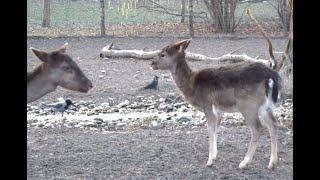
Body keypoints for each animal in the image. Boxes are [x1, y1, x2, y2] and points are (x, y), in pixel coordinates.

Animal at [149, 38, 282, 169]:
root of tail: (272, 76)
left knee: (258, 128)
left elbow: (210, 129)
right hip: (265, 106)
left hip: (248, 105)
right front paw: (215, 155)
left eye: (162, 54)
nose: (151, 63)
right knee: (273, 124)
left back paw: (245, 162)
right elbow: (216, 129)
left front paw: (210, 161)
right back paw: (272, 163)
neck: (192, 85)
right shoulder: (219, 110)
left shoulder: (207, 105)